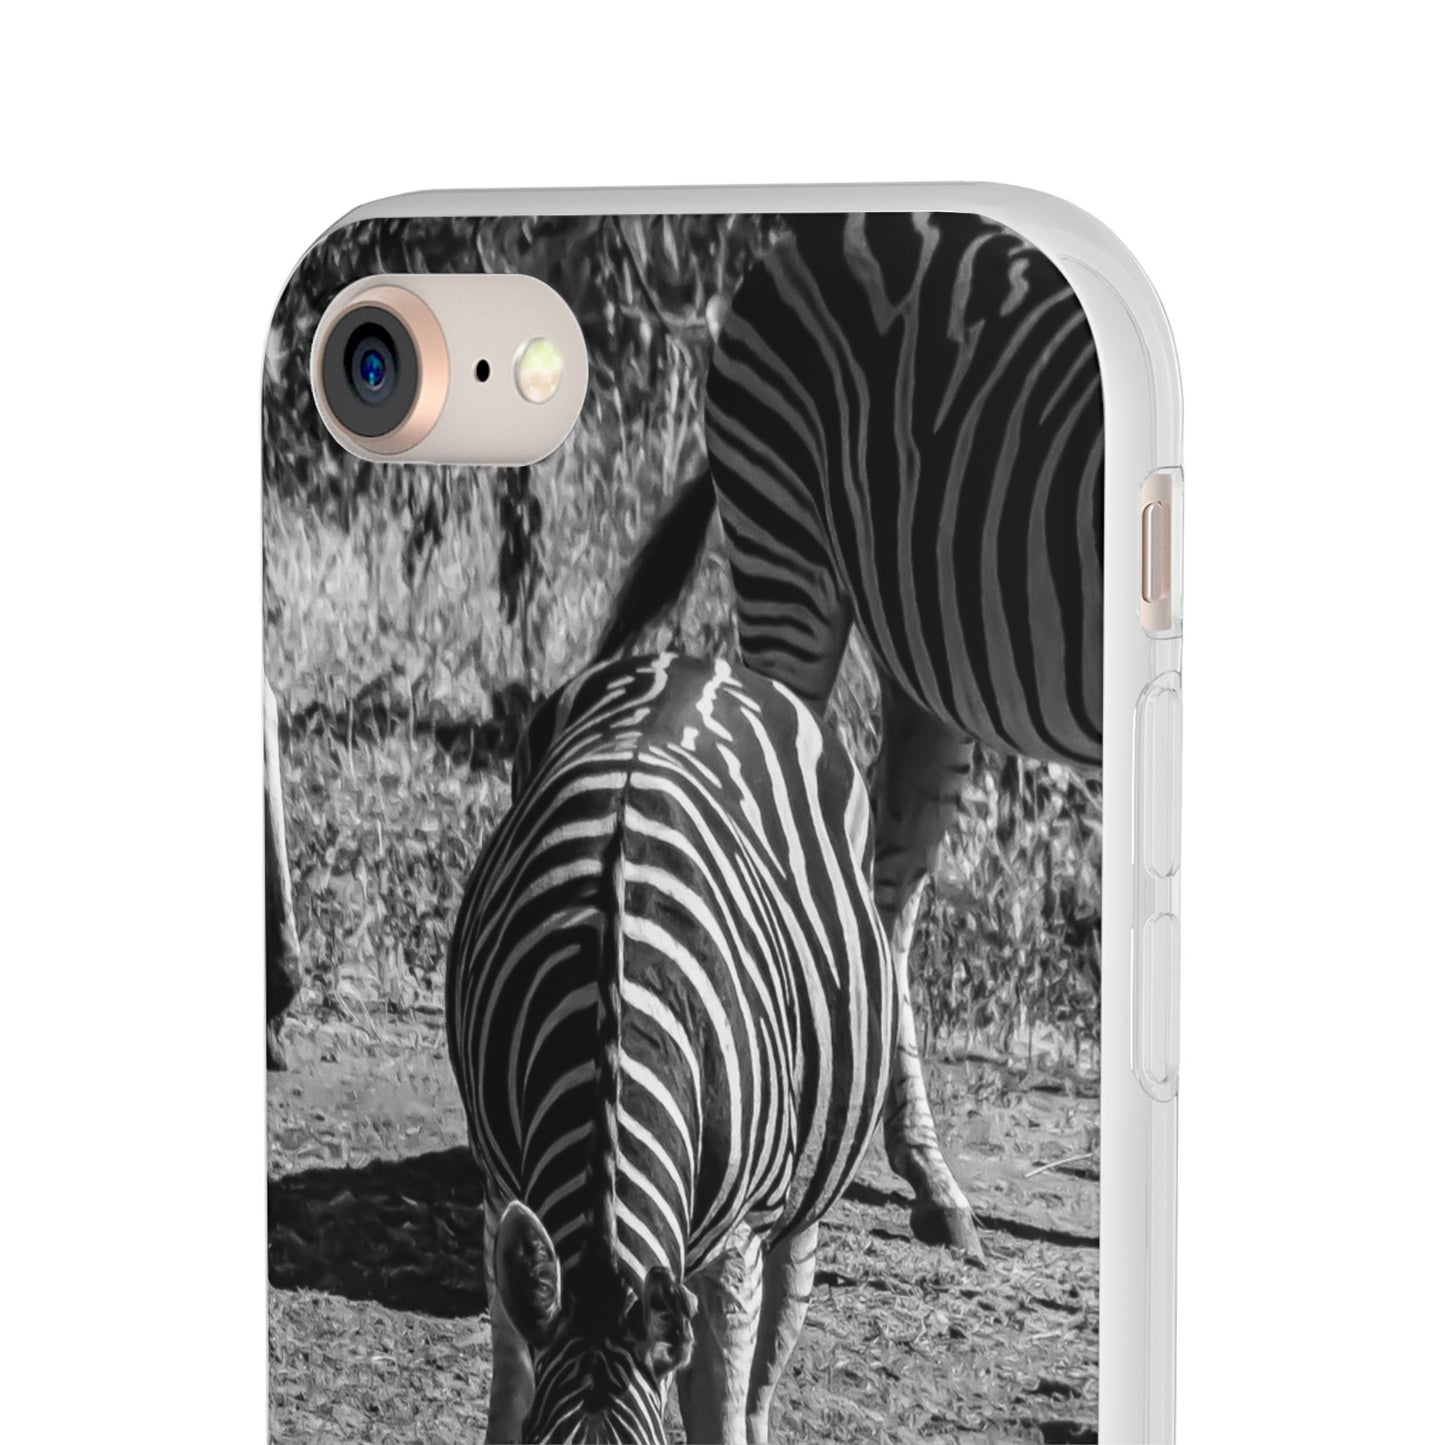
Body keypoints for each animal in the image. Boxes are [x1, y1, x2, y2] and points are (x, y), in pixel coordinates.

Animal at [446, 652, 894, 1444]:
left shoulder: (739, 1244)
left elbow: (719, 1410)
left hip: (795, 1201)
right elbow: (510, 1385)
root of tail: (694, 659)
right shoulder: (500, 1187)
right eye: (539, 1442)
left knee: (766, 1360)